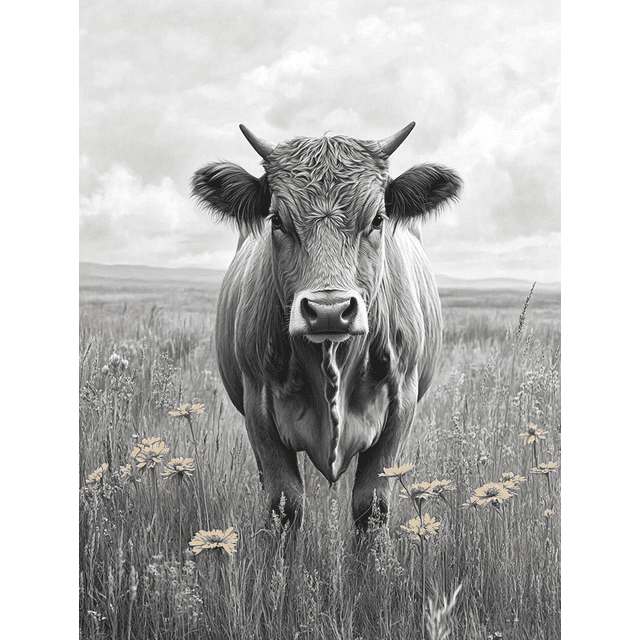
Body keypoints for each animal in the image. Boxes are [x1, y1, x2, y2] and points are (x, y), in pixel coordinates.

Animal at [191, 122, 461, 529]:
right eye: (277, 220)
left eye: (377, 219)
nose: (329, 311)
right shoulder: (258, 406)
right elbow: (285, 502)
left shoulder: (402, 403)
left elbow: (371, 504)